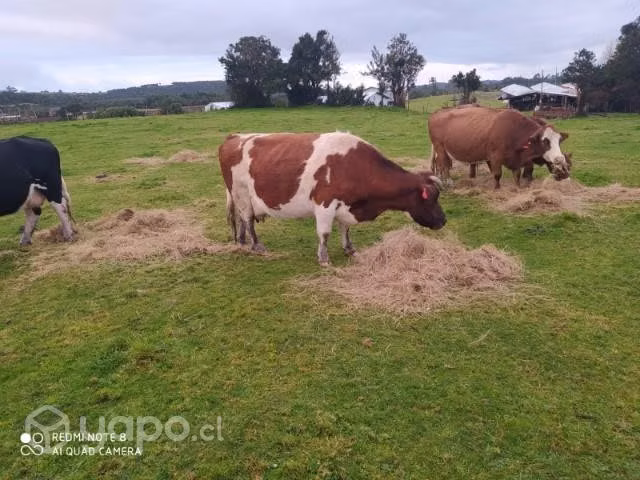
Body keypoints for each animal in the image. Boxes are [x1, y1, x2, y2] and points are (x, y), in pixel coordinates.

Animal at [218, 132, 446, 265]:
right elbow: (324, 233)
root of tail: (235, 136)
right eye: (431, 198)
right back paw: (256, 245)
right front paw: (324, 259)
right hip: (241, 192)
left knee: (241, 219)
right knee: (248, 220)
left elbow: (345, 229)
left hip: (240, 197)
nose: (443, 221)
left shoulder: (346, 205)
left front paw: (349, 249)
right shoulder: (324, 204)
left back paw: (241, 242)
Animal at [427, 106, 571, 189]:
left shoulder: (515, 160)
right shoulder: (495, 157)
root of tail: (436, 113)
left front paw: (518, 187)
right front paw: (496, 188)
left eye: (559, 141)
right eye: (545, 141)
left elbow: (517, 175)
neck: (513, 131)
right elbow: (497, 174)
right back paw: (449, 182)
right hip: (440, 148)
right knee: (444, 165)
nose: (559, 159)